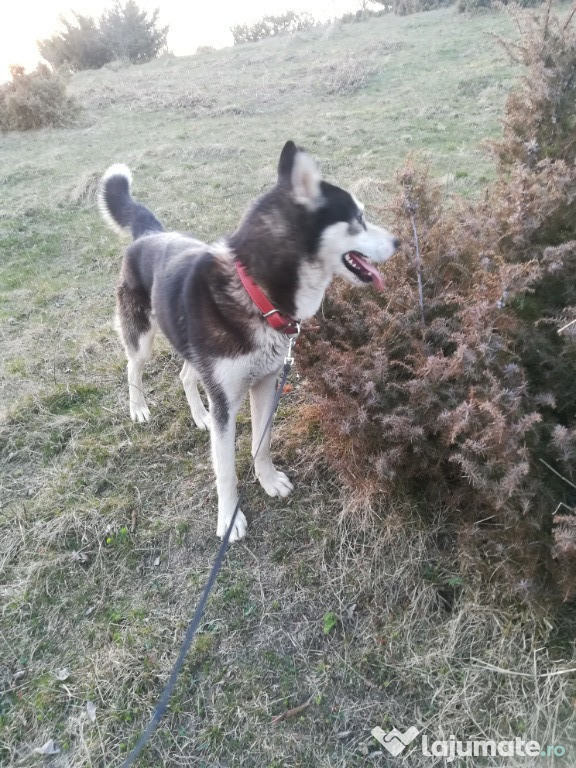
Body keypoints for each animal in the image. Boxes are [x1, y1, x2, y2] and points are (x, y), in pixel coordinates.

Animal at [97, 141, 398, 544]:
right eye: (359, 218)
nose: (398, 241)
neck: (257, 293)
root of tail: (149, 233)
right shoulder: (226, 402)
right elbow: (224, 470)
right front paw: (229, 519)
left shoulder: (266, 382)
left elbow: (262, 441)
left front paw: (268, 480)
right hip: (142, 334)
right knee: (133, 367)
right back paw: (139, 408)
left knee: (185, 376)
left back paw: (200, 416)